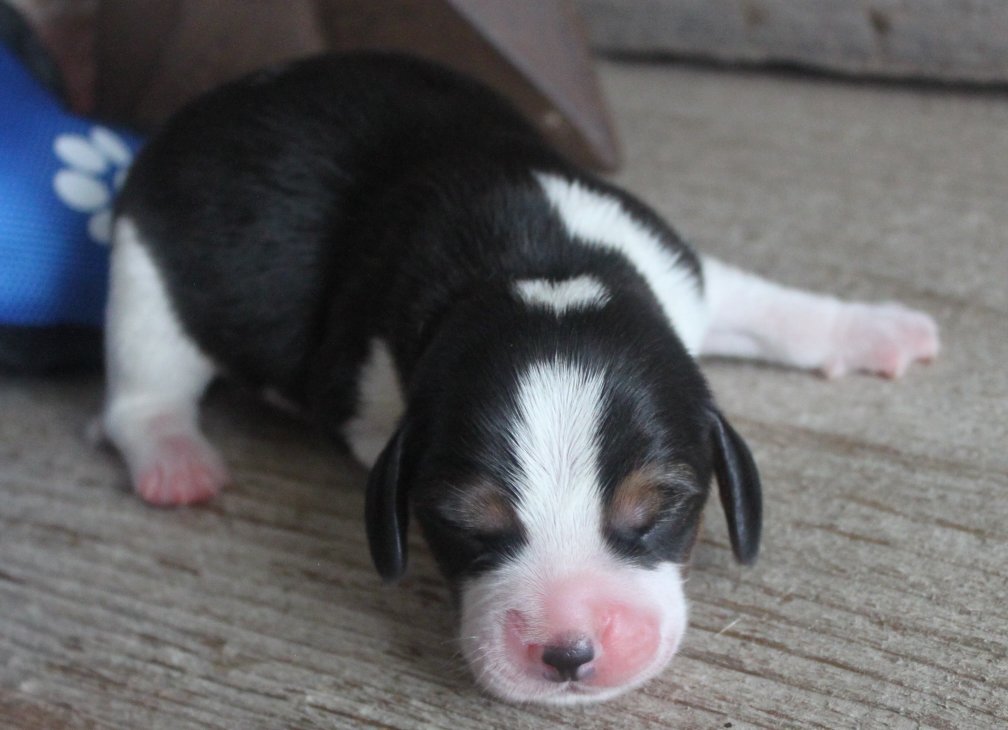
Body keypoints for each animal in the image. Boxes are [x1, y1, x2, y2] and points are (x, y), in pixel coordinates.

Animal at [98, 54, 939, 705]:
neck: (532, 262)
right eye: (462, 519)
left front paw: (875, 329)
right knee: (141, 390)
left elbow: (771, 307)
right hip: (145, 272)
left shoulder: (681, 275)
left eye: (661, 506)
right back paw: (175, 459)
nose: (567, 652)